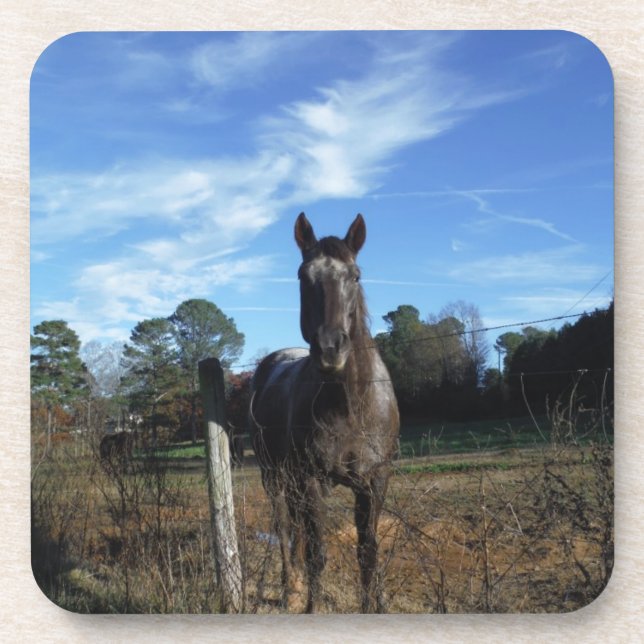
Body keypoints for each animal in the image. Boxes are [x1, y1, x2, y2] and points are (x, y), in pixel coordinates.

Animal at [249, 212, 400, 613]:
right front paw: (312, 608)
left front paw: (373, 606)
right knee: (286, 526)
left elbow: (368, 552)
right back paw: (290, 587)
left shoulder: (375, 481)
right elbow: (318, 553)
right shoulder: (313, 480)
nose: (331, 348)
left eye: (356, 275)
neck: (351, 406)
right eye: (304, 276)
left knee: (297, 527)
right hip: (274, 475)